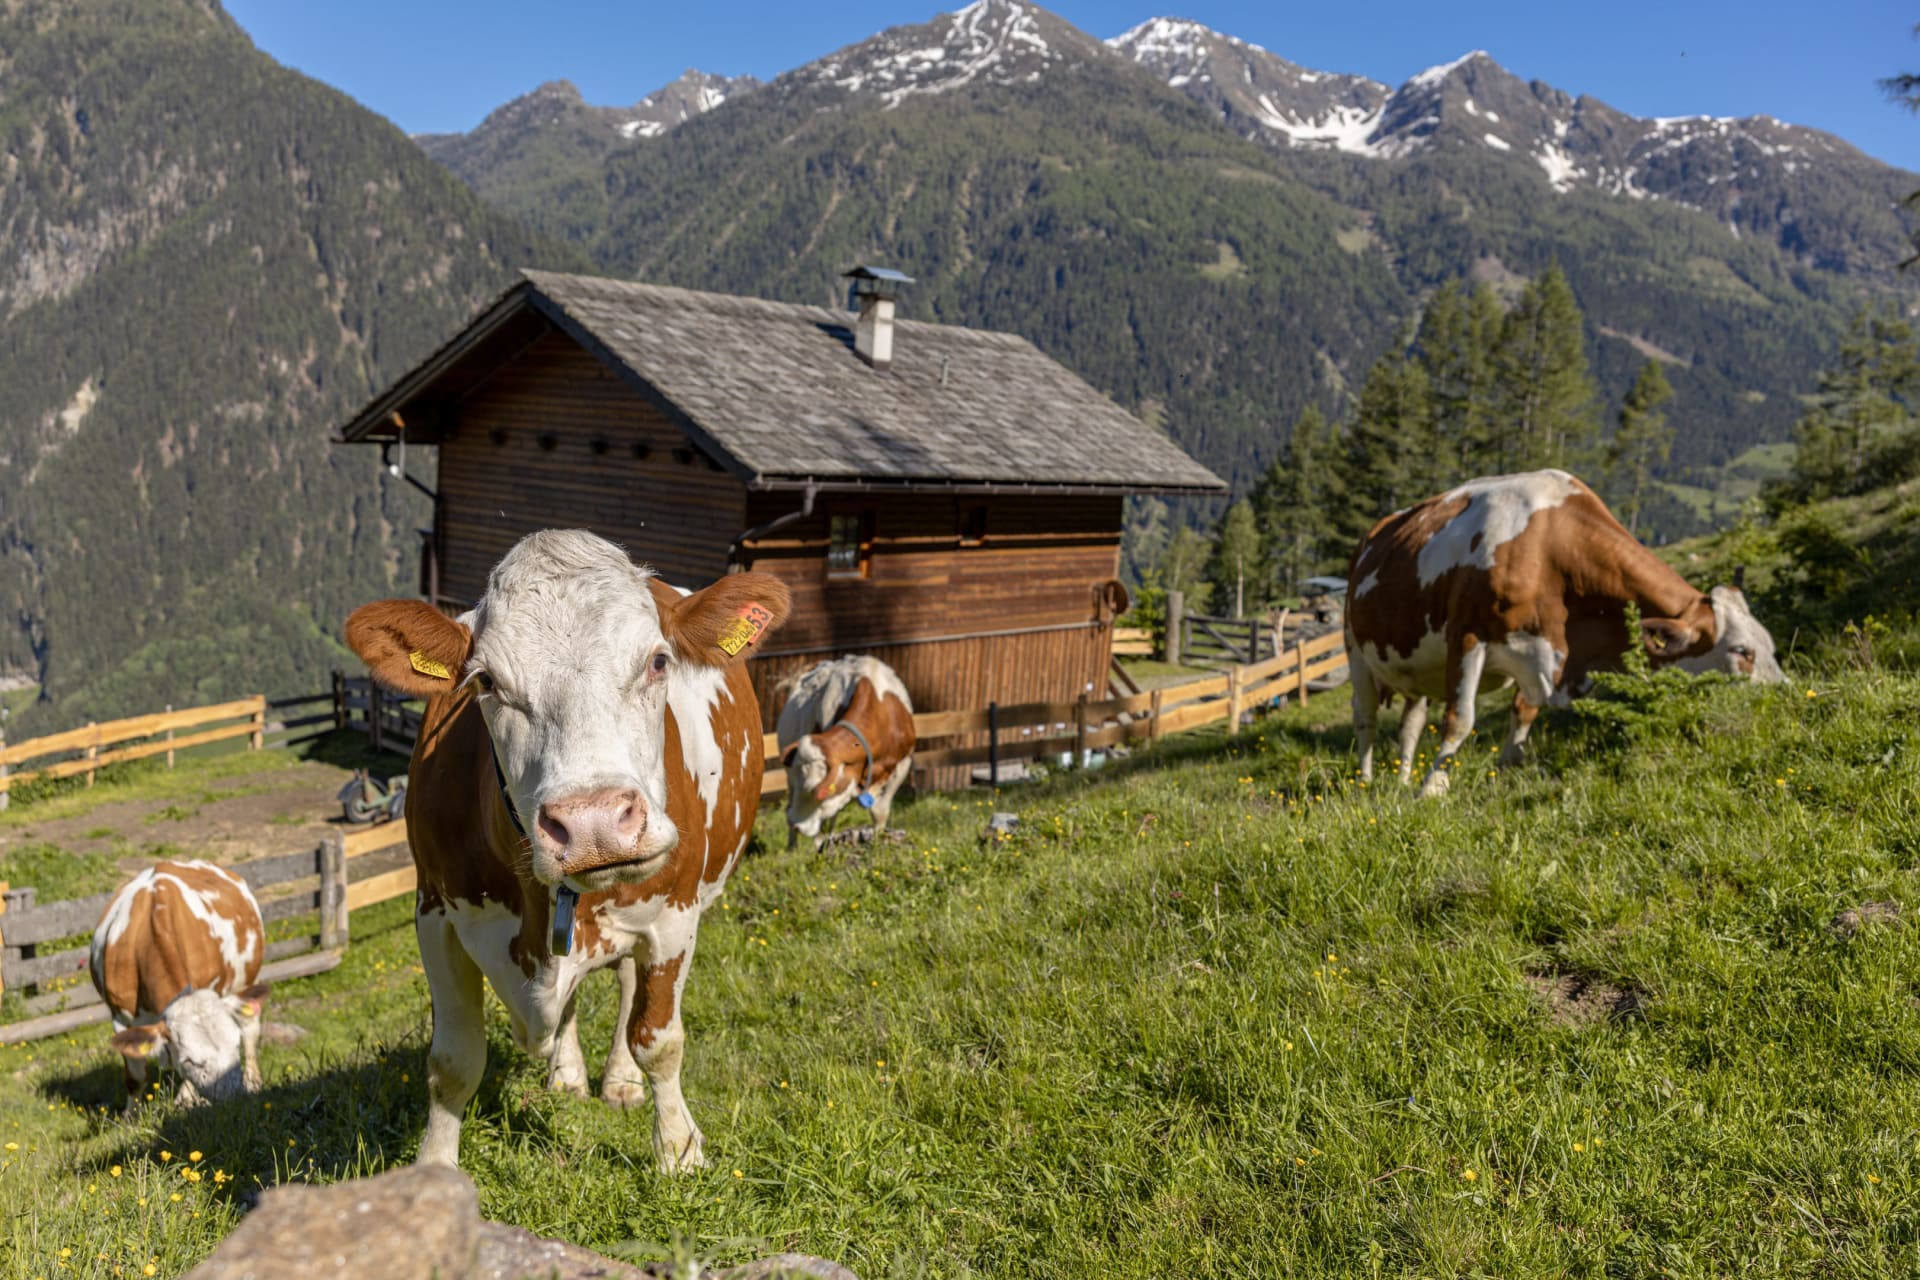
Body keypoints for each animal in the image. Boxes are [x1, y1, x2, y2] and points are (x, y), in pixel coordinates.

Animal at [89, 859, 271, 1110]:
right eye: (190, 1060)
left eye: (235, 1047)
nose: (234, 1100)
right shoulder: (120, 1019)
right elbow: (135, 1076)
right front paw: (131, 1114)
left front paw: (186, 1100)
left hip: (247, 980)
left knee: (250, 1026)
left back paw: (253, 1081)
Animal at [344, 529, 790, 1171]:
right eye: (485, 681)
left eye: (658, 661)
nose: (594, 823)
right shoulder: (435, 914)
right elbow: (452, 1061)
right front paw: (433, 1169)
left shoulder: (675, 915)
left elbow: (658, 1040)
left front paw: (678, 1150)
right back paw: (569, 1075)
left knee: (629, 993)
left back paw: (620, 1081)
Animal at [775, 655, 915, 848]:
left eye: (816, 790)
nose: (796, 824)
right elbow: (825, 823)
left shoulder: (902, 764)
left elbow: (879, 812)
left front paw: (877, 842)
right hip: (788, 781)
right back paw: (793, 848)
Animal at [1345, 469, 1783, 797]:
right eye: (1742, 651)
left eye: (1771, 647)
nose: (1786, 695)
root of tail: (1374, 532)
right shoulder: (1468, 637)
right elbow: (1460, 719)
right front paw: (1432, 790)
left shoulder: (1544, 651)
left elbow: (1524, 713)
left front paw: (1505, 770)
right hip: (1355, 650)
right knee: (1365, 718)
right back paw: (1366, 782)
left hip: (1415, 666)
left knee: (1411, 723)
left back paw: (1401, 780)